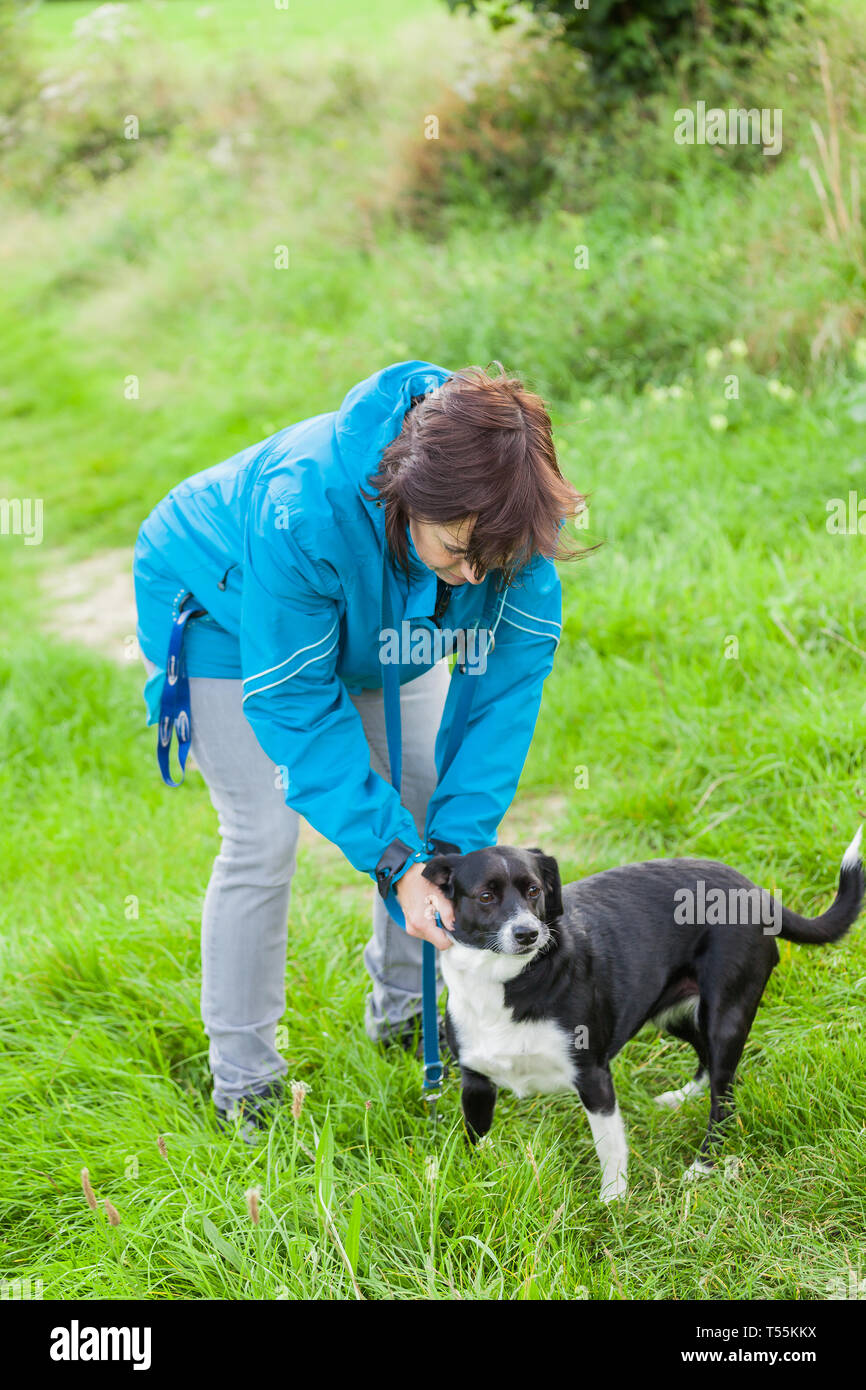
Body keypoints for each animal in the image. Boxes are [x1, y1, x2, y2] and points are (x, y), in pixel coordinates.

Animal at [422, 828, 861, 1200]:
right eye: (485, 896)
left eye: (533, 890)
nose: (529, 933)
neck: (506, 981)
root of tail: (756, 892)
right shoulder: (476, 1082)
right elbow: (475, 1137)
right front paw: (479, 1181)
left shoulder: (593, 1077)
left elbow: (610, 1147)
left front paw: (613, 1202)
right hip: (674, 1012)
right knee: (704, 1057)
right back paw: (682, 1097)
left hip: (727, 1014)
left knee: (724, 1097)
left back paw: (703, 1166)